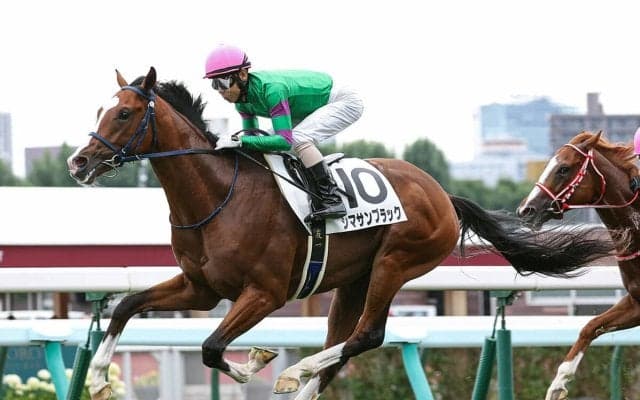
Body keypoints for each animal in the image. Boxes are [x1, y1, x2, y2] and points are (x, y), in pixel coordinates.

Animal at [67, 67, 615, 400]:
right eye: (98, 110)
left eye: (123, 113)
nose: (78, 162)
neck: (218, 197)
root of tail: (442, 192)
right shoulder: (200, 288)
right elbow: (126, 305)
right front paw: (97, 376)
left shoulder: (265, 292)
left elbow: (211, 347)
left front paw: (262, 361)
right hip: (354, 280)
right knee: (343, 343)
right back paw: (306, 377)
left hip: (396, 262)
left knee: (366, 336)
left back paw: (296, 371)